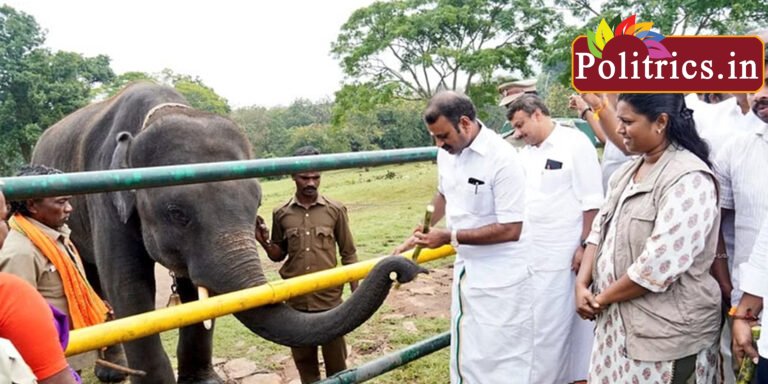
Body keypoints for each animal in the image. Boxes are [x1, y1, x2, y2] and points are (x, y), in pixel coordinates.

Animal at [30, 82, 426, 382]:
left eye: (257, 203)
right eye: (177, 213)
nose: (404, 268)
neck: (158, 114)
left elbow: (197, 297)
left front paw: (205, 380)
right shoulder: (107, 199)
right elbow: (130, 289)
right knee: (94, 278)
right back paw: (112, 372)